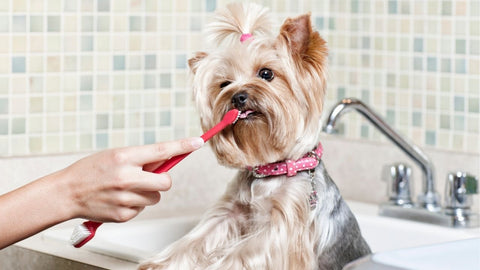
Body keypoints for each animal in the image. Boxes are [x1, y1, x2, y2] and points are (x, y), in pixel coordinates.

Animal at [139, 3, 372, 268]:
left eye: (266, 73)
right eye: (224, 84)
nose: (237, 96)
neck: (269, 171)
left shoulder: (284, 223)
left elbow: (244, 252)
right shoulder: (230, 211)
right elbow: (196, 239)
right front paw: (158, 264)